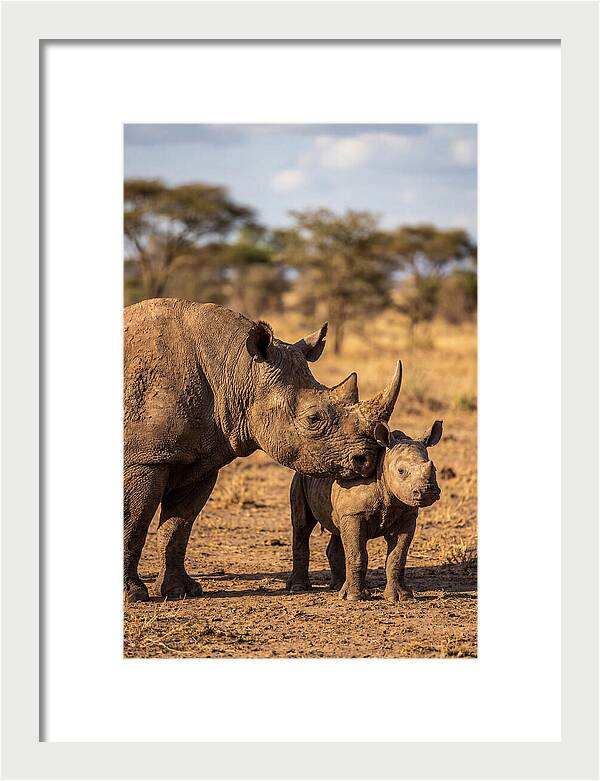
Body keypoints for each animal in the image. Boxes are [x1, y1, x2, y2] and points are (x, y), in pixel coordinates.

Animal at [124, 298, 402, 603]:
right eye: (313, 419)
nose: (367, 459)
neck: (236, 370)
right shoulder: (145, 459)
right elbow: (133, 521)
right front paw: (133, 595)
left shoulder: (201, 459)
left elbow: (178, 526)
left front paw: (180, 591)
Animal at [287, 414, 443, 602]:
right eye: (401, 471)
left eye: (434, 468)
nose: (428, 491)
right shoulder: (355, 514)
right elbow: (358, 554)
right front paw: (354, 597)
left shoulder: (406, 515)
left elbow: (397, 557)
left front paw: (400, 597)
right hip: (300, 478)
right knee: (302, 525)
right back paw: (299, 587)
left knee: (337, 530)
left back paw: (338, 586)